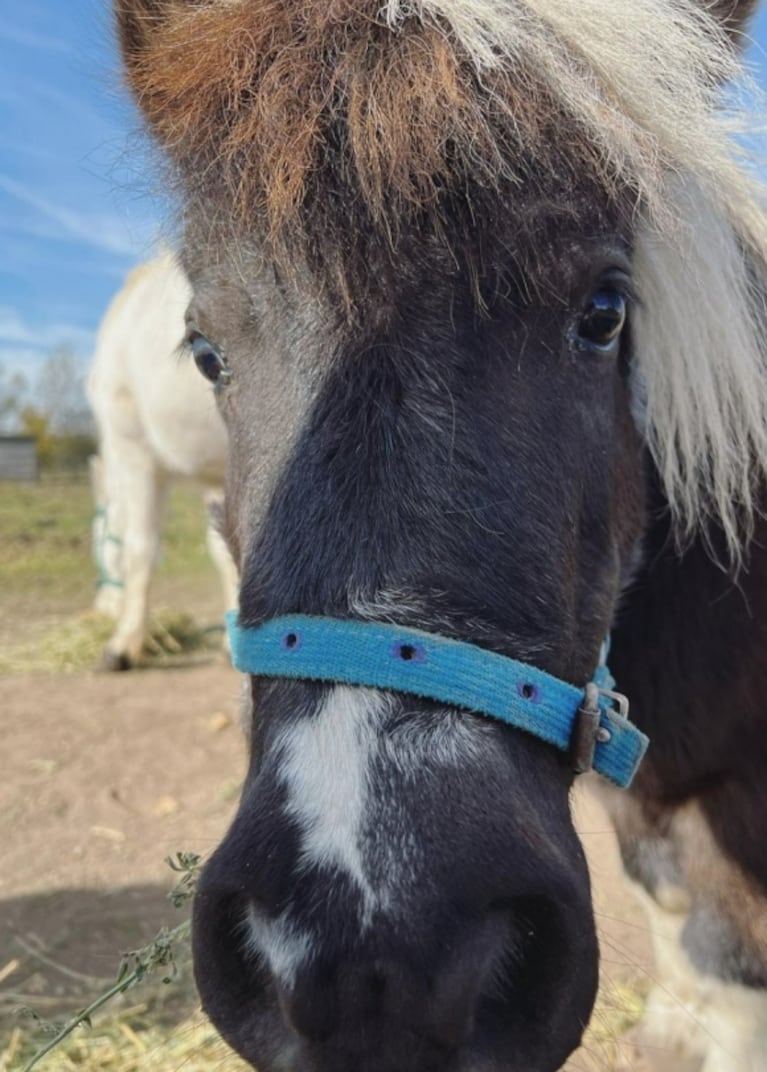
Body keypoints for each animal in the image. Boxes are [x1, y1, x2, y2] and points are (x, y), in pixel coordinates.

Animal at [85, 251, 238, 668]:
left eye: (96, 541)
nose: (100, 607)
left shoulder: (132, 446)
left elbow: (138, 547)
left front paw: (123, 644)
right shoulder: (217, 476)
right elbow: (223, 551)